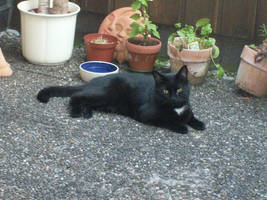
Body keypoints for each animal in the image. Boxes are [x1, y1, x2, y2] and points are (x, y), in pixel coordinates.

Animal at [37, 66, 205, 134]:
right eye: (165, 91)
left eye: (180, 90)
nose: (173, 98)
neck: (176, 108)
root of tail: (92, 81)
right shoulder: (146, 114)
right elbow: (166, 120)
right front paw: (181, 127)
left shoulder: (186, 107)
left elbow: (189, 115)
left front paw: (199, 123)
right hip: (104, 94)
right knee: (75, 96)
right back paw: (76, 112)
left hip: (103, 102)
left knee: (85, 100)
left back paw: (87, 113)